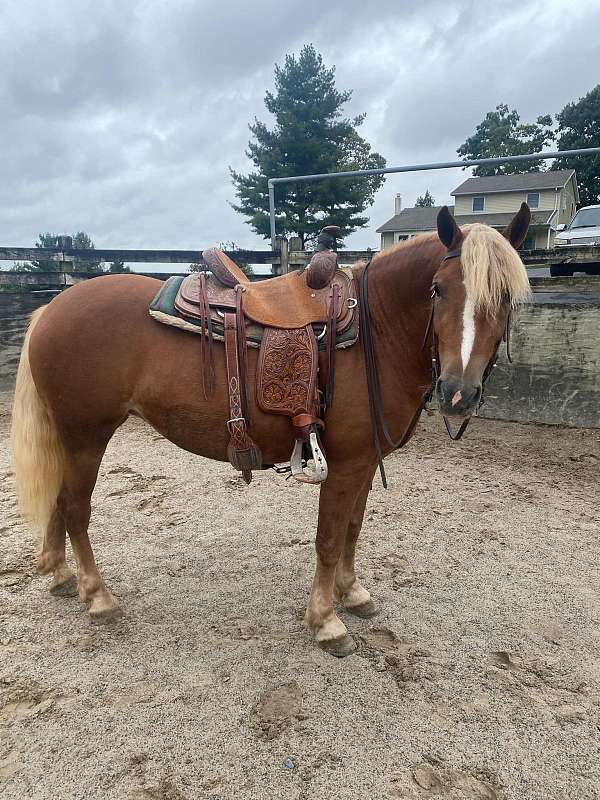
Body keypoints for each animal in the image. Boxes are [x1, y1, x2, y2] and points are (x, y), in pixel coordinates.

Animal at [10, 205, 528, 656]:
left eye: (505, 296)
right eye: (438, 289)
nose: (458, 392)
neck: (375, 330)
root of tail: (50, 309)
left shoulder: (363, 462)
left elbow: (352, 529)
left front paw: (352, 593)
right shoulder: (343, 466)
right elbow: (328, 539)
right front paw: (326, 620)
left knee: (59, 500)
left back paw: (62, 576)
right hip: (87, 435)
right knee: (75, 508)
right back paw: (97, 595)